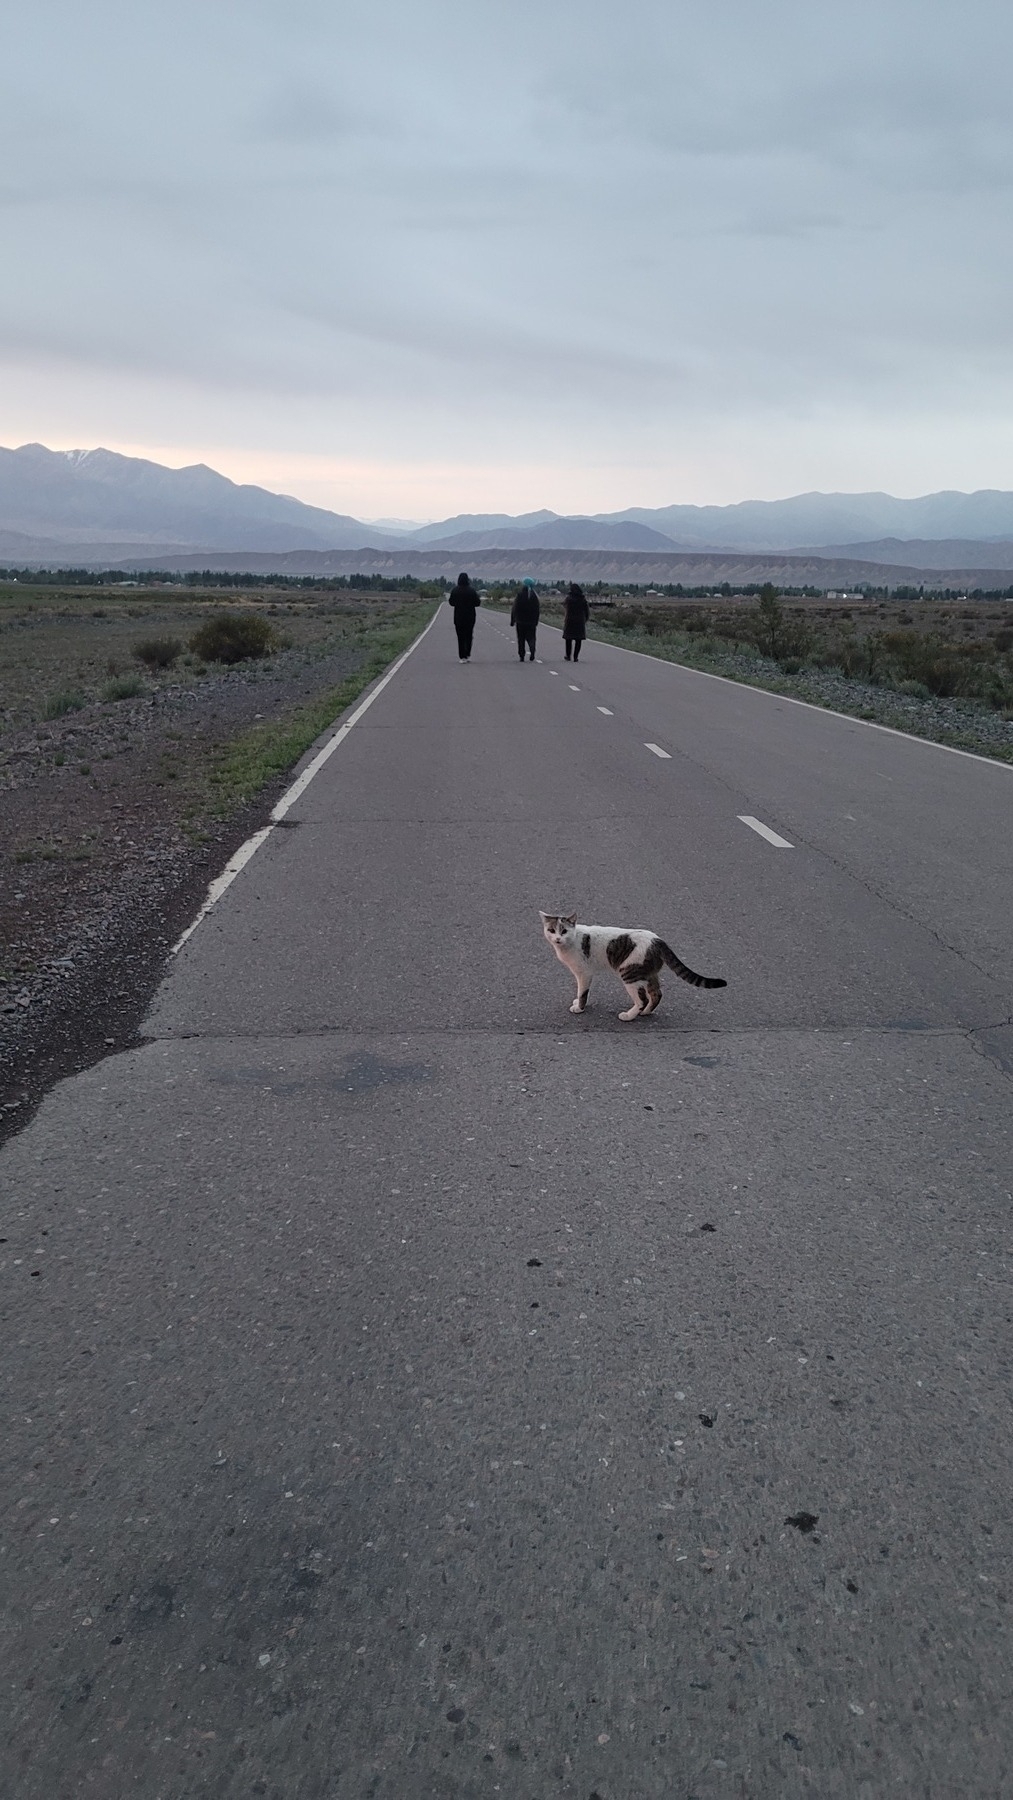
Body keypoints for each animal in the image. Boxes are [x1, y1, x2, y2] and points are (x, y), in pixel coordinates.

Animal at [543, 921, 726, 1022]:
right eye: (552, 931)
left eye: (564, 931)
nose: (558, 939)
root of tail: (658, 940)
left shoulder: (584, 973)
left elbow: (582, 992)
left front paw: (579, 1008)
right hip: (648, 973)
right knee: (656, 994)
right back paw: (645, 1013)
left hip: (629, 973)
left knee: (642, 999)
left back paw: (629, 1016)